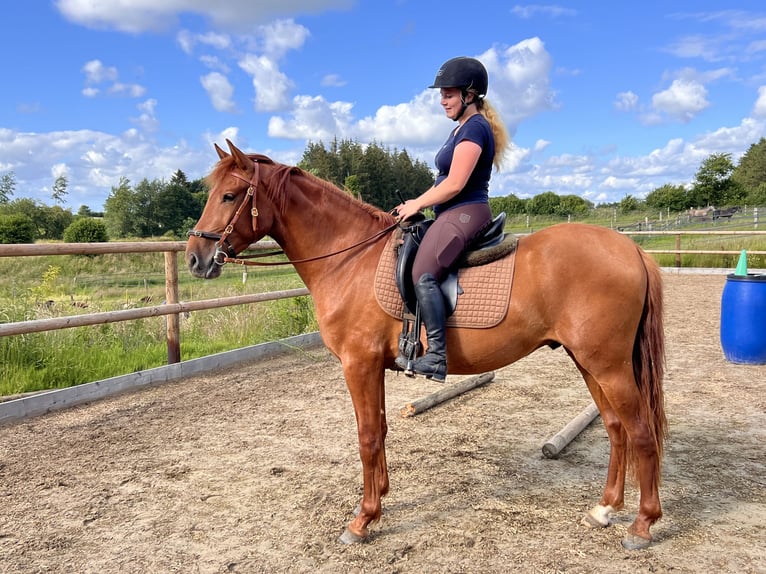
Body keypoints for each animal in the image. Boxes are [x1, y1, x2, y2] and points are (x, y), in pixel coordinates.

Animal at [184, 140, 664, 552]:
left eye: (229, 196)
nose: (194, 259)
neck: (349, 259)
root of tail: (630, 249)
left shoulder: (358, 365)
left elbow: (367, 437)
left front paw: (362, 520)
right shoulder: (373, 367)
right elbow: (379, 430)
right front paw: (378, 502)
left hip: (608, 365)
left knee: (641, 432)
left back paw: (642, 525)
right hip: (589, 362)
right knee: (616, 429)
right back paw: (605, 509)